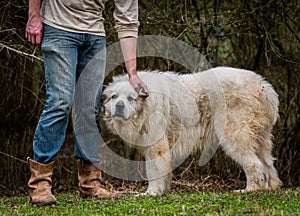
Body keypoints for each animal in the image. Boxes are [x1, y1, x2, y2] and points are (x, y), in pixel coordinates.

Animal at [101, 67, 282, 196]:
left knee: (253, 163)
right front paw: (162, 190)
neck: (145, 107)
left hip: (234, 135)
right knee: (267, 164)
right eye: (114, 97)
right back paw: (271, 187)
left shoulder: (156, 147)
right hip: (260, 138)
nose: (119, 106)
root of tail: (264, 87)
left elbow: (154, 170)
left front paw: (151, 192)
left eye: (130, 98)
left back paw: (250, 189)